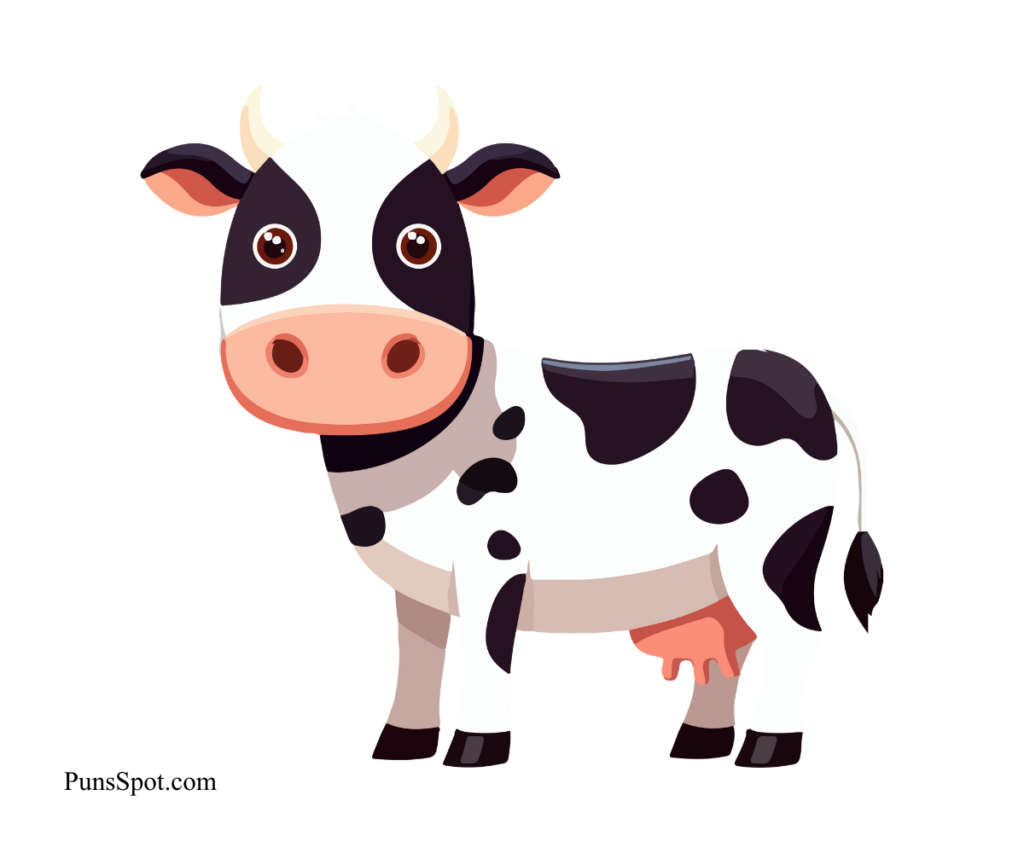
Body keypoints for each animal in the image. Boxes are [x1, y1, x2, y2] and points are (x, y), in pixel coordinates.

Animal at [140, 84, 885, 769]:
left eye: (419, 242)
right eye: (272, 242)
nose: (345, 345)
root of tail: (805, 383)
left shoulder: (494, 552)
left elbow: (485, 651)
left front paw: (475, 750)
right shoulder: (413, 580)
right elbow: (418, 654)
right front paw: (400, 745)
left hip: (774, 542)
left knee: (796, 634)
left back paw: (766, 749)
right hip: (719, 567)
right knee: (734, 637)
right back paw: (696, 746)